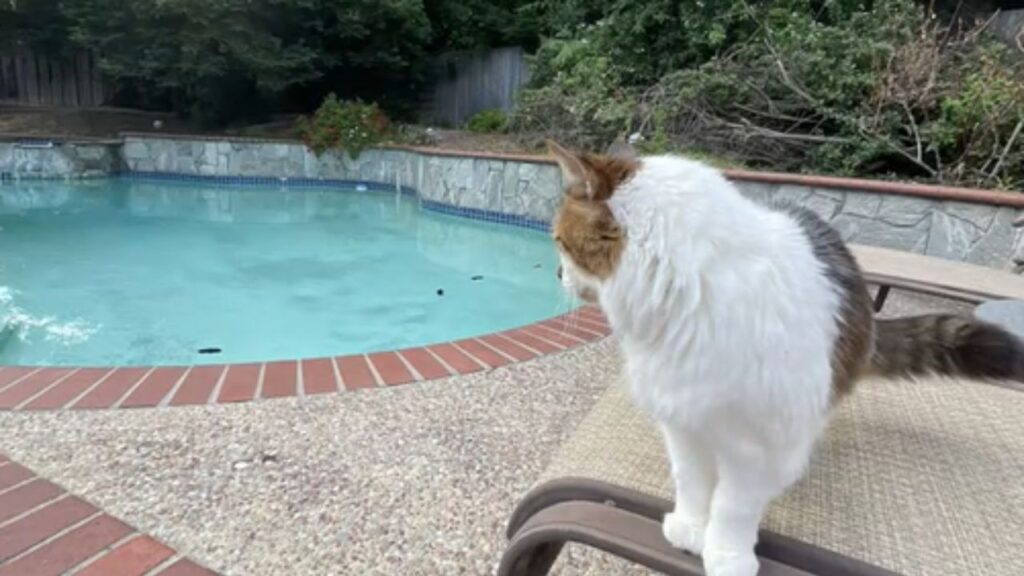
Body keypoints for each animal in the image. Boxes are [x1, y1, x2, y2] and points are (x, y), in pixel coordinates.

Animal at [548, 139, 1024, 573]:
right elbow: (691, 481)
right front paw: (690, 527)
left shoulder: (760, 444)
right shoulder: (682, 420)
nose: (555, 272)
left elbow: (734, 507)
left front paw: (726, 554)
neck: (692, 296)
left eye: (559, 241)